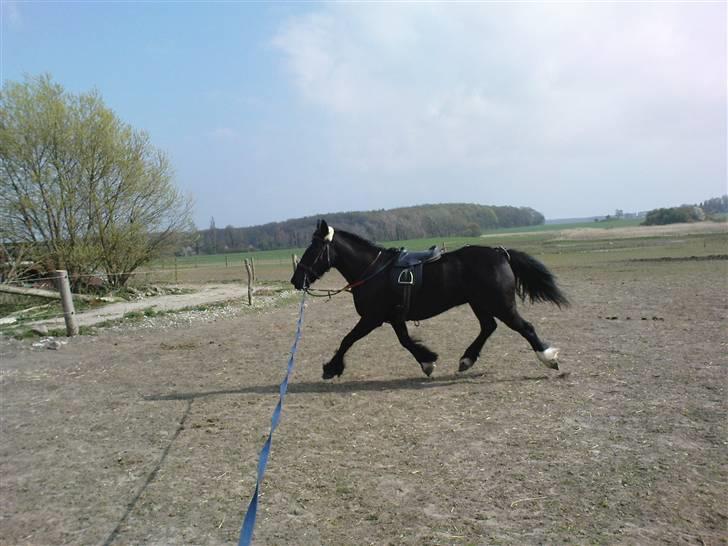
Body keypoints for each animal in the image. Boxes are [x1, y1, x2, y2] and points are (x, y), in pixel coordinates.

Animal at [291, 220, 569, 379]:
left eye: (313, 249)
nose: (296, 279)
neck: (373, 270)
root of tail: (500, 253)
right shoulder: (394, 317)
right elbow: (405, 341)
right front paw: (426, 360)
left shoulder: (372, 318)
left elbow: (348, 339)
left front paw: (331, 368)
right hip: (480, 303)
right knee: (488, 327)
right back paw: (466, 360)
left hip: (500, 304)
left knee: (525, 328)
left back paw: (548, 358)